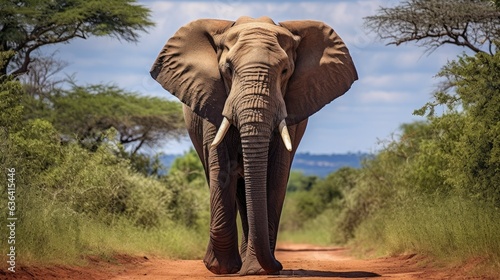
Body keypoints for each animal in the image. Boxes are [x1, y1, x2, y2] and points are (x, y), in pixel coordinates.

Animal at [150, 15, 358, 276]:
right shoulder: (213, 99)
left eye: (285, 71)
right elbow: (222, 167)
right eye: (228, 70)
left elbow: (275, 173)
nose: (279, 265)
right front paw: (221, 268)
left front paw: (257, 270)